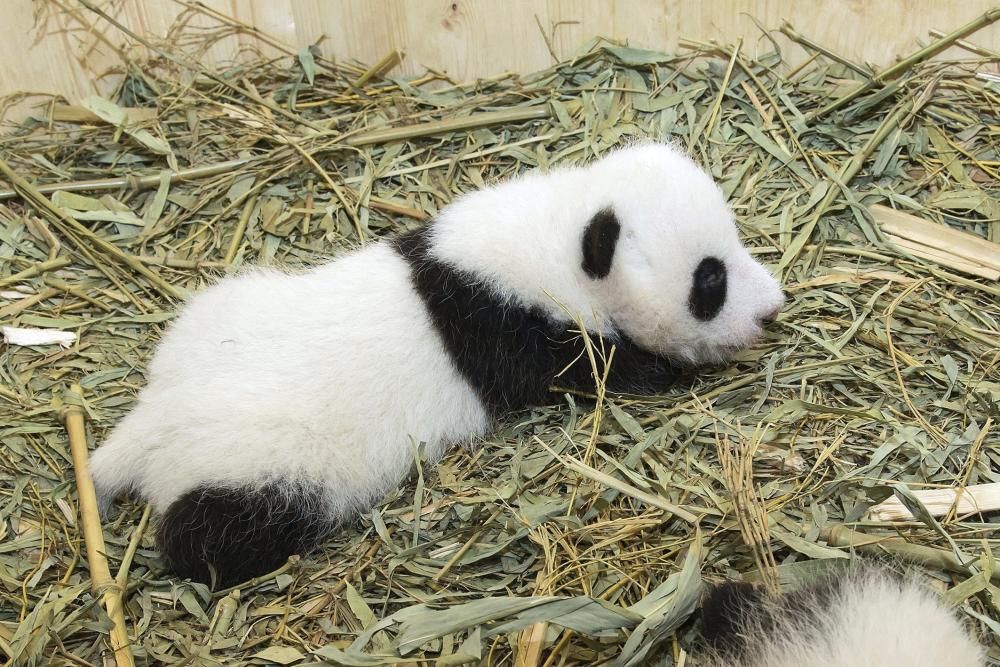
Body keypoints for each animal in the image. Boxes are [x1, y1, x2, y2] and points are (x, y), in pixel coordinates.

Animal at [89, 141, 785, 587]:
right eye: (710, 280)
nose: (772, 309)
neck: (556, 235)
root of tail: (152, 425)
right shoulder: (516, 330)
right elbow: (582, 371)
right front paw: (661, 370)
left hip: (213, 315)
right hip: (262, 475)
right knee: (218, 534)